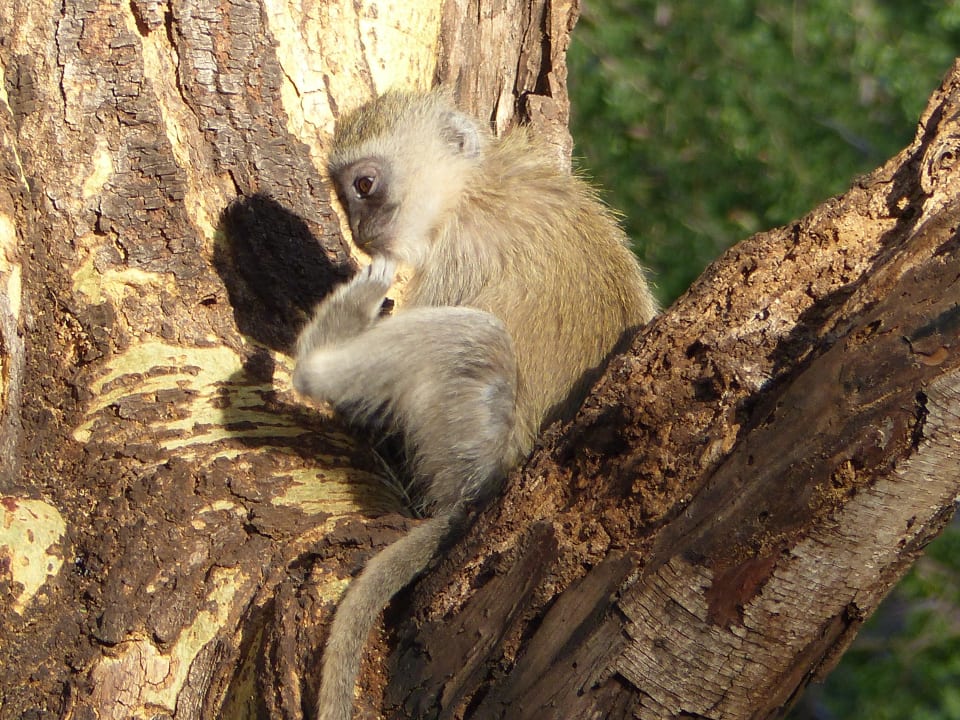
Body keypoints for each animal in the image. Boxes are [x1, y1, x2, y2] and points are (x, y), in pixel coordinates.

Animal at [292, 89, 657, 720]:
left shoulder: (456, 251)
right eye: (346, 193)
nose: (360, 231)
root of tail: (477, 494)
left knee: (476, 336)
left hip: (471, 438)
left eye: (364, 185)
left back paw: (320, 354)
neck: (476, 185)